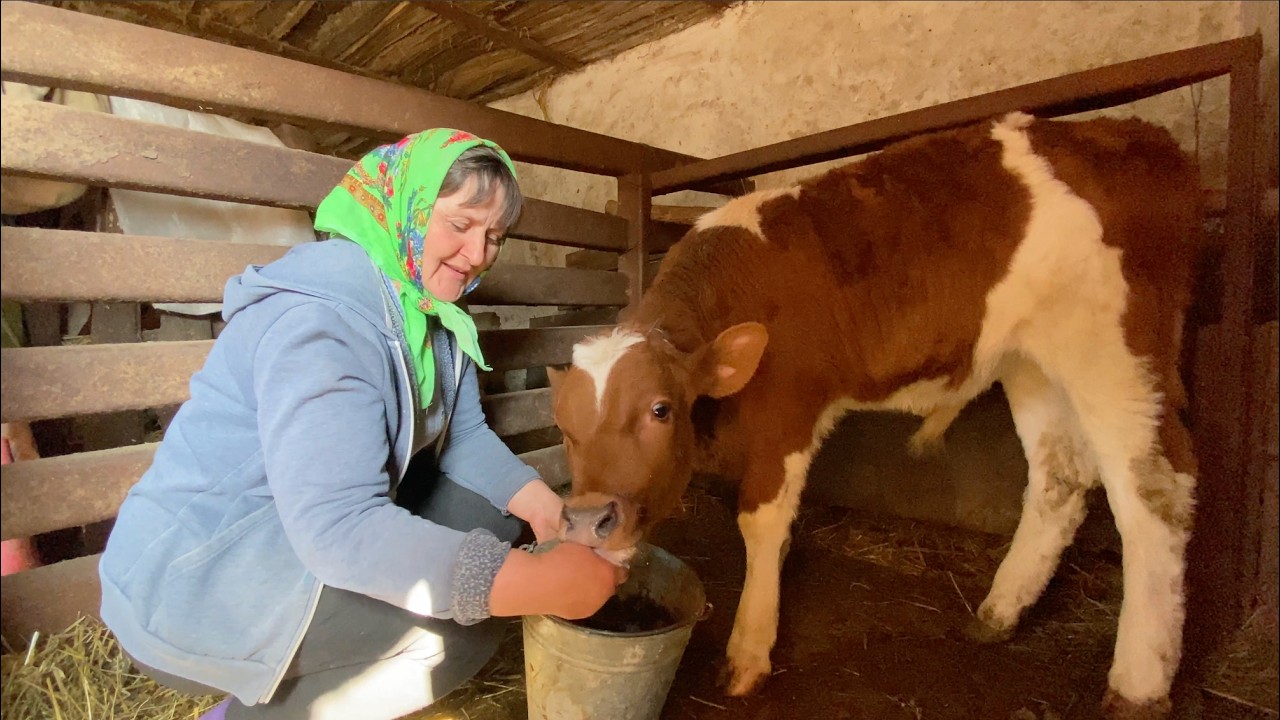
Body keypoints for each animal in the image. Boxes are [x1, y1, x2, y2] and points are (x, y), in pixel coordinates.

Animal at [549, 112, 1201, 718]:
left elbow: (760, 523)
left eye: (660, 409)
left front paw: (749, 648)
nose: (585, 522)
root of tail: (1136, 133)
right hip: (1030, 363)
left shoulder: (787, 413)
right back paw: (998, 612)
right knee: (1059, 478)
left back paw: (1138, 684)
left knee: (1154, 491)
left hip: (1115, 350)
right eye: (563, 426)